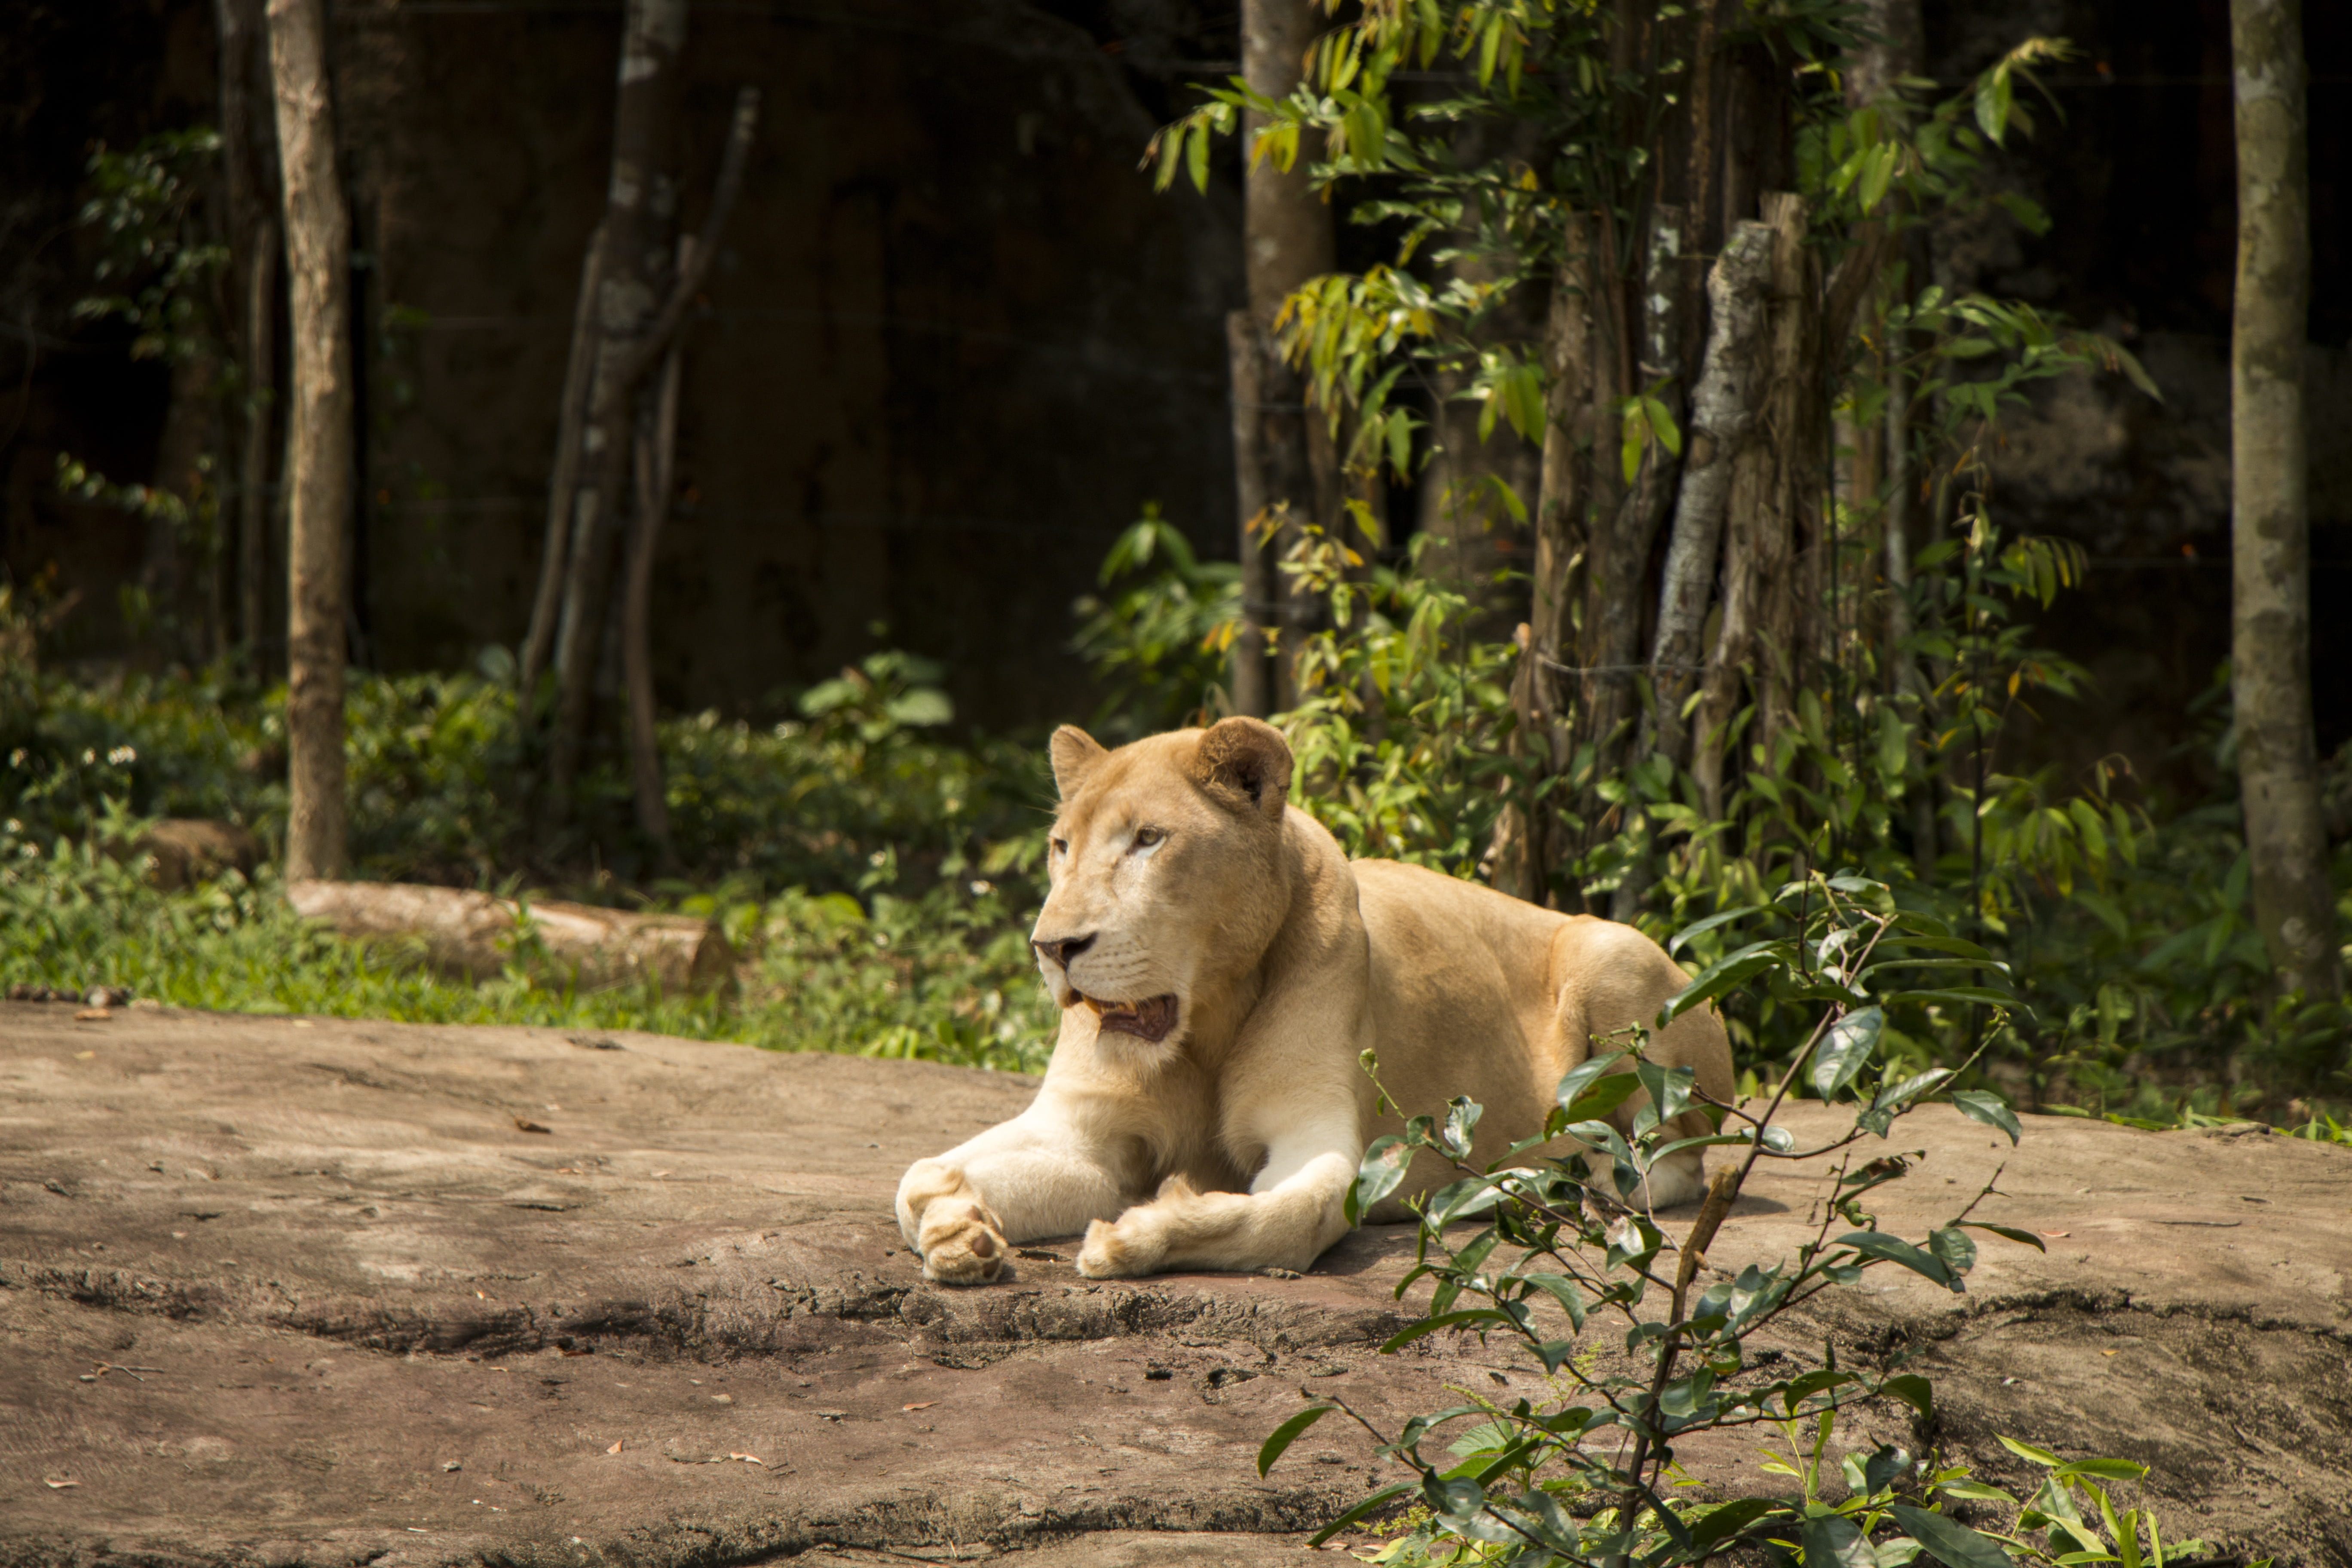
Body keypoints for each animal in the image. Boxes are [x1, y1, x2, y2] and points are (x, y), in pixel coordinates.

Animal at [894, 717, 1735, 1284]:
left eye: (1148, 840)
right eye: (1061, 846)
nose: (1052, 947)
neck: (1203, 1022)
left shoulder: (1317, 1135)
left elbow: (1284, 1219)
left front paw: (1136, 1235)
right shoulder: (1080, 1133)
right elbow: (916, 1179)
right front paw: (958, 1225)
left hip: (1612, 953)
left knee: (1683, 1158)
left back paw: (1577, 1184)